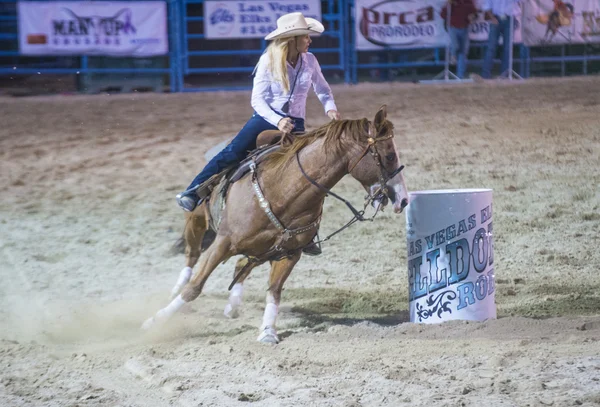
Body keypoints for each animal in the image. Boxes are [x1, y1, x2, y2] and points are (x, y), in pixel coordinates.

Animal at [143, 105, 410, 344]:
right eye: (389, 155)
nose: (404, 200)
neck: (282, 190)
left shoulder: (289, 253)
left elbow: (274, 291)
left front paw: (268, 331)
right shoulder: (223, 242)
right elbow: (195, 287)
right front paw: (154, 322)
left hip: (259, 250)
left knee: (241, 264)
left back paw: (233, 306)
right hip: (196, 222)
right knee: (192, 256)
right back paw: (176, 290)